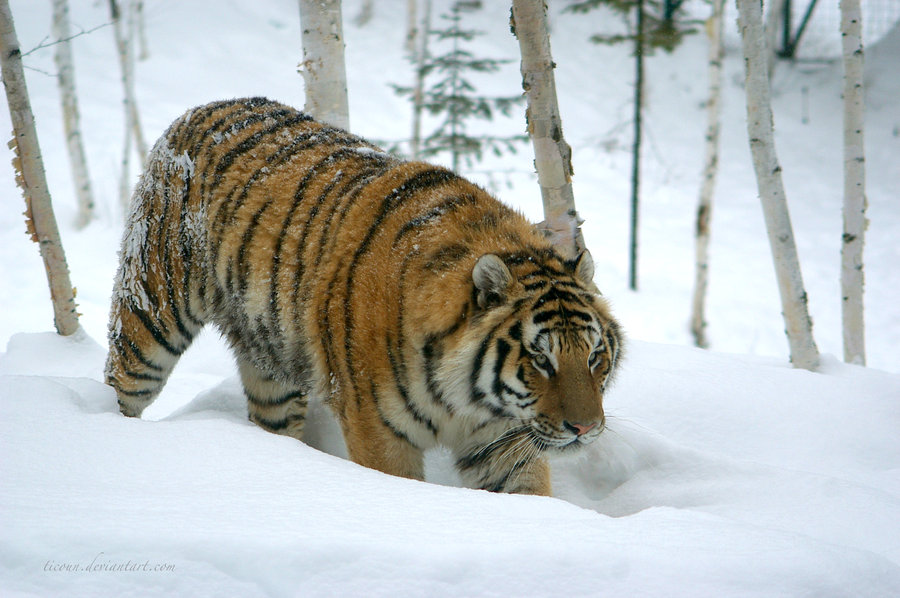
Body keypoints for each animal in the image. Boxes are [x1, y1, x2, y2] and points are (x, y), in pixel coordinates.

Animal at [105, 97, 624, 496]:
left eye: (594, 356)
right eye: (540, 360)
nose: (586, 429)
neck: (469, 400)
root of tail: (198, 110)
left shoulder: (503, 439)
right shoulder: (378, 429)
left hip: (271, 365)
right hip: (151, 316)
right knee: (123, 385)